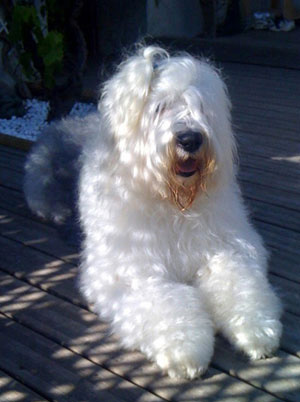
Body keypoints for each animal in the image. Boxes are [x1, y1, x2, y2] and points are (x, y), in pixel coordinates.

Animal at [24, 45, 282, 378]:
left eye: (199, 106)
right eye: (159, 107)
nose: (190, 139)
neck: (173, 202)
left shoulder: (227, 246)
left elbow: (238, 281)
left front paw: (256, 330)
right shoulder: (132, 269)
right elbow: (164, 301)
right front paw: (185, 350)